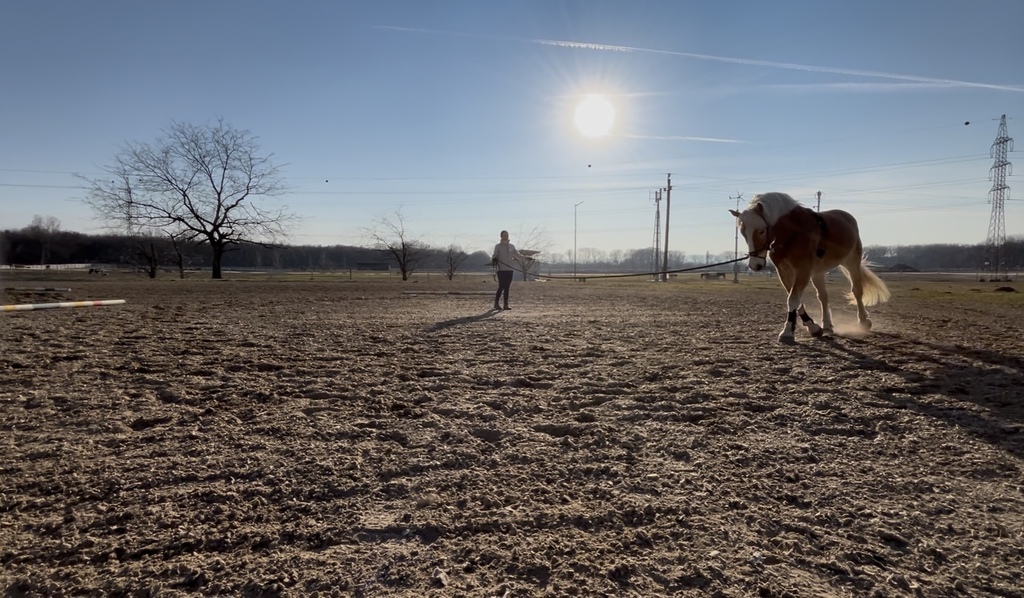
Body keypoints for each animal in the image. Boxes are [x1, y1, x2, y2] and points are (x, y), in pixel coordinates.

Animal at [730, 192, 890, 342]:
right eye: (743, 232)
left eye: (762, 230)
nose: (755, 265)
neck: (792, 233)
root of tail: (847, 217)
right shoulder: (784, 271)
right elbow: (795, 299)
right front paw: (813, 327)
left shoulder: (803, 270)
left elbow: (793, 299)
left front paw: (787, 332)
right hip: (818, 272)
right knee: (823, 296)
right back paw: (827, 325)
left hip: (851, 261)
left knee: (857, 291)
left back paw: (863, 321)